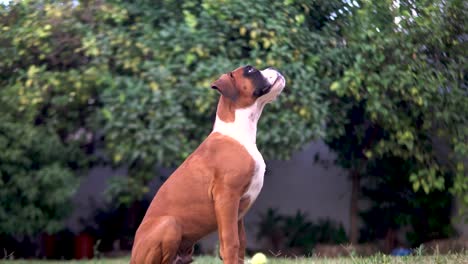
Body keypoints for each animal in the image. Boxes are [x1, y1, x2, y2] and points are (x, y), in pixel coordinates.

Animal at [131, 64, 286, 264]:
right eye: (250, 70)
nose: (275, 67)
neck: (237, 131)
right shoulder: (226, 198)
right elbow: (231, 243)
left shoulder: (238, 211)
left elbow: (241, 244)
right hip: (169, 223)